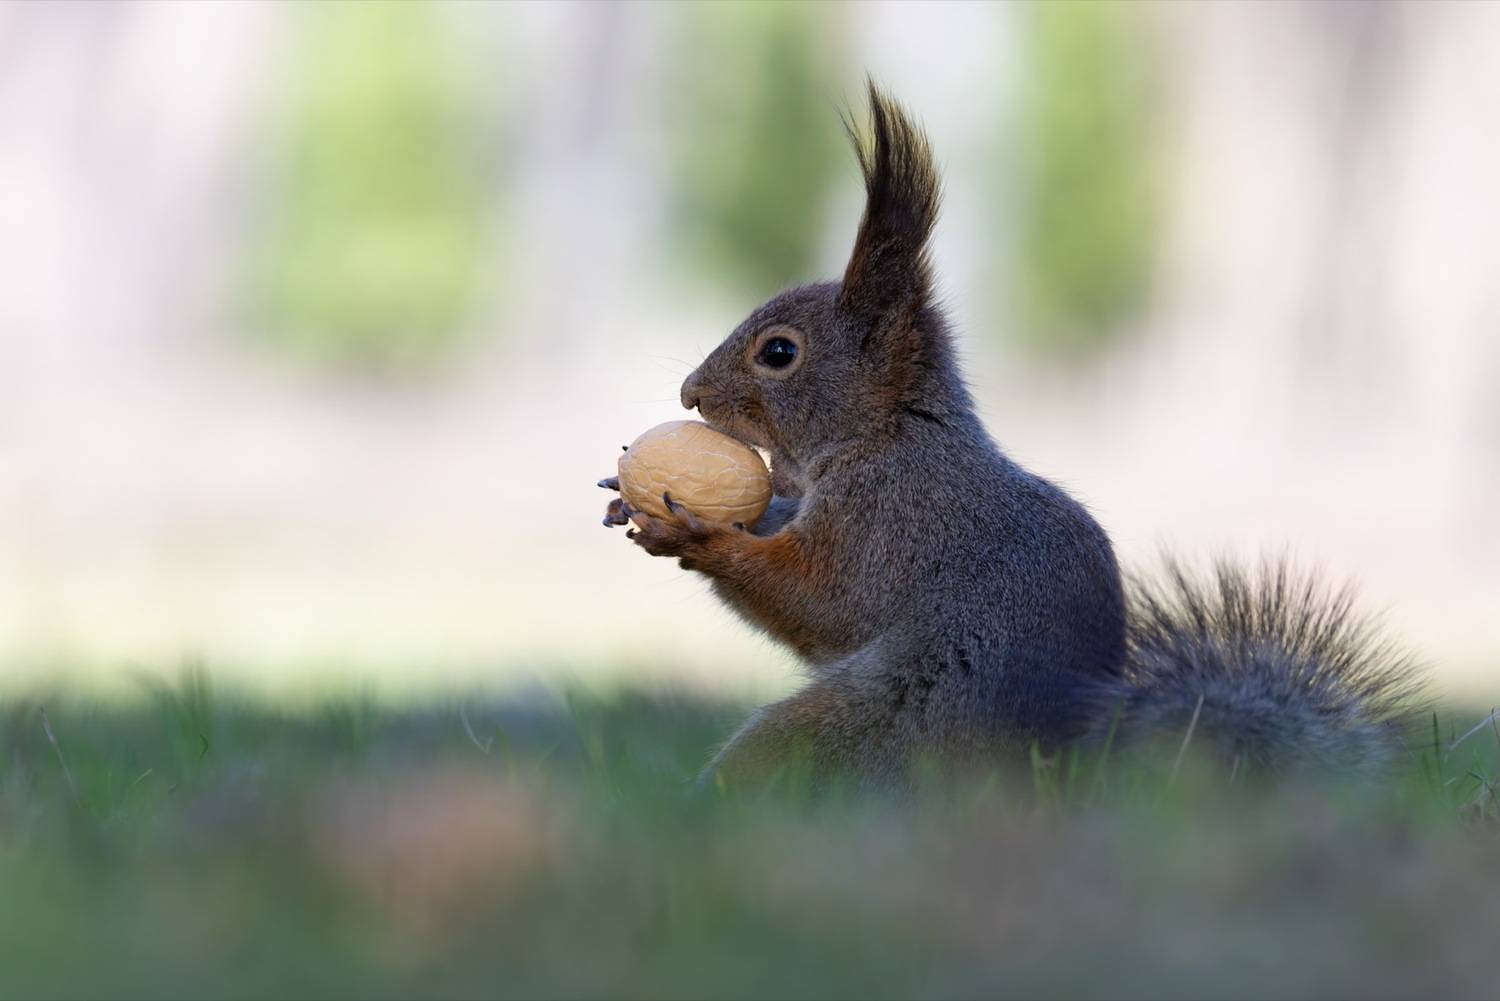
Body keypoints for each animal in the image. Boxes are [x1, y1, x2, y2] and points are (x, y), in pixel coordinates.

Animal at [600, 84, 1419, 788]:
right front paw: (625, 498)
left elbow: (821, 598)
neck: (886, 434)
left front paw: (698, 536)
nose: (690, 393)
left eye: (778, 352)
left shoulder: (898, 515)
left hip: (859, 732)